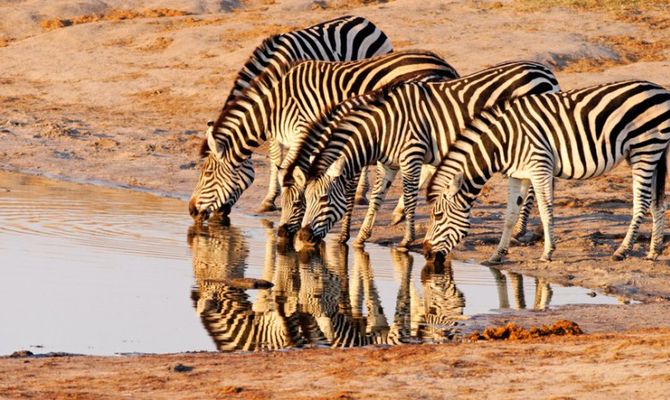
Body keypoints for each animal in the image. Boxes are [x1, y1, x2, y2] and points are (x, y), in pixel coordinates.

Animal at [188, 14, 394, 219]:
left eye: (207, 173)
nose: (191, 210)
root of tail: (364, 20)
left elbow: (284, 161)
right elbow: (276, 158)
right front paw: (272, 198)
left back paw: (360, 193)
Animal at [296, 61, 560, 250]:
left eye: (323, 199)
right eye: (305, 198)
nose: (303, 237)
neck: (383, 128)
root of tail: (545, 71)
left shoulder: (411, 155)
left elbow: (410, 196)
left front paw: (406, 239)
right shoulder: (388, 163)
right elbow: (377, 197)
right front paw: (362, 236)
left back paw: (520, 230)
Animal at [426, 79, 670, 264]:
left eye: (438, 216)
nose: (427, 253)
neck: (504, 141)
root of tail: (660, 89)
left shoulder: (539, 166)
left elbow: (545, 210)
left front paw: (547, 253)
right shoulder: (518, 174)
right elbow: (510, 214)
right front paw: (497, 255)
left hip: (645, 149)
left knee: (642, 201)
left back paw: (622, 250)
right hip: (651, 153)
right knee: (658, 202)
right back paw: (653, 252)